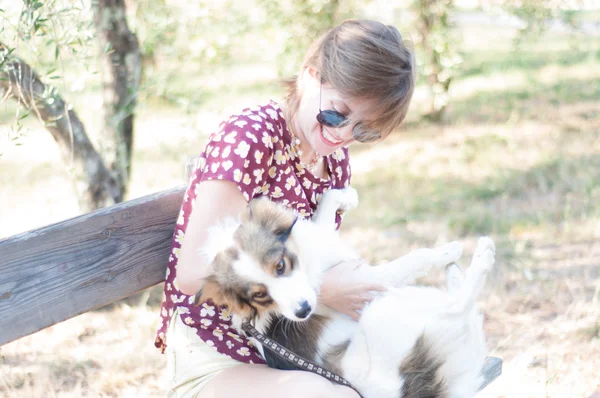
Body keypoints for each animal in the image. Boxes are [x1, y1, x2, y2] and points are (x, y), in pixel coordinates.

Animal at [195, 187, 494, 398]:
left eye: (280, 266)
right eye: (259, 295)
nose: (303, 311)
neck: (308, 262)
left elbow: (324, 208)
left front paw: (344, 196)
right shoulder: (367, 278)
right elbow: (414, 258)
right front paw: (446, 251)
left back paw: (456, 272)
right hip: (384, 310)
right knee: (459, 304)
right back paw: (479, 257)